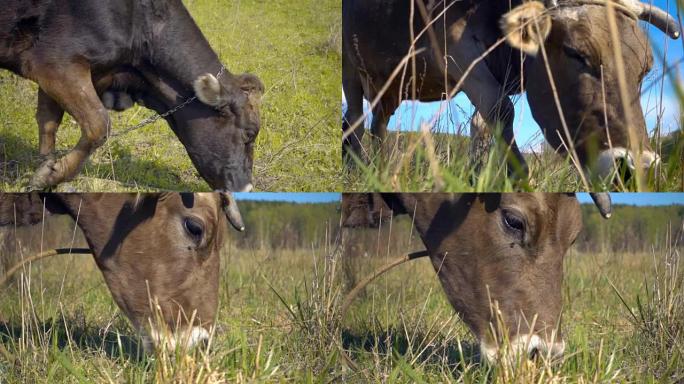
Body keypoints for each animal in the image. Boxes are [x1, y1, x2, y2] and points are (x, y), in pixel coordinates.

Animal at [0, 0, 264, 192]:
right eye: (249, 134)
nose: (248, 188)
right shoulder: (54, 62)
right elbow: (99, 124)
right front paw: (49, 176)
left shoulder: (51, 70)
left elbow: (48, 121)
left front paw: (44, 169)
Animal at [344, 0, 680, 184]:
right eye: (576, 52)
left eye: (646, 68)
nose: (639, 168)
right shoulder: (452, 48)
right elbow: (501, 108)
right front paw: (521, 181)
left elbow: (481, 124)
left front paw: (477, 177)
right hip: (353, 69)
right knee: (354, 121)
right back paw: (354, 170)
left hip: (391, 86)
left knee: (379, 125)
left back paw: (381, 170)